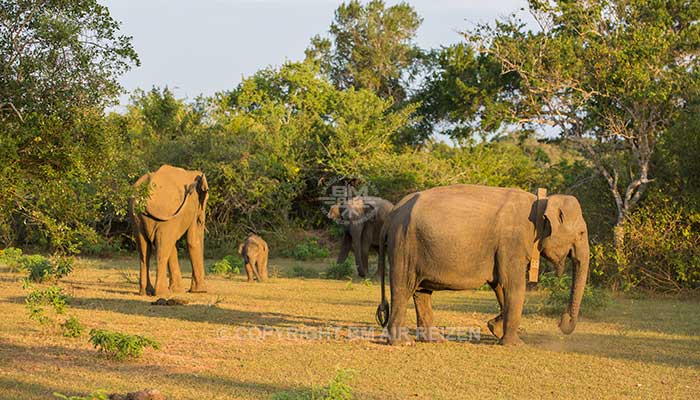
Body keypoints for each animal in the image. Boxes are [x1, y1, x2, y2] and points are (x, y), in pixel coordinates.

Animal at [130, 163, 209, 296]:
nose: (202, 220)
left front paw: (178, 291)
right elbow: (192, 241)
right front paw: (200, 291)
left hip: (137, 217)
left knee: (144, 251)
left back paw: (146, 292)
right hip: (164, 212)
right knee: (161, 250)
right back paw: (162, 293)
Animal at [374, 184, 588, 344]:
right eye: (582, 233)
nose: (562, 321)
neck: (541, 201)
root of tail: (392, 214)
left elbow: (500, 286)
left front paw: (495, 328)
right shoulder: (512, 242)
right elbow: (514, 285)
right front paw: (515, 343)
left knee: (421, 291)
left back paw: (436, 339)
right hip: (404, 245)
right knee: (403, 287)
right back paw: (402, 342)